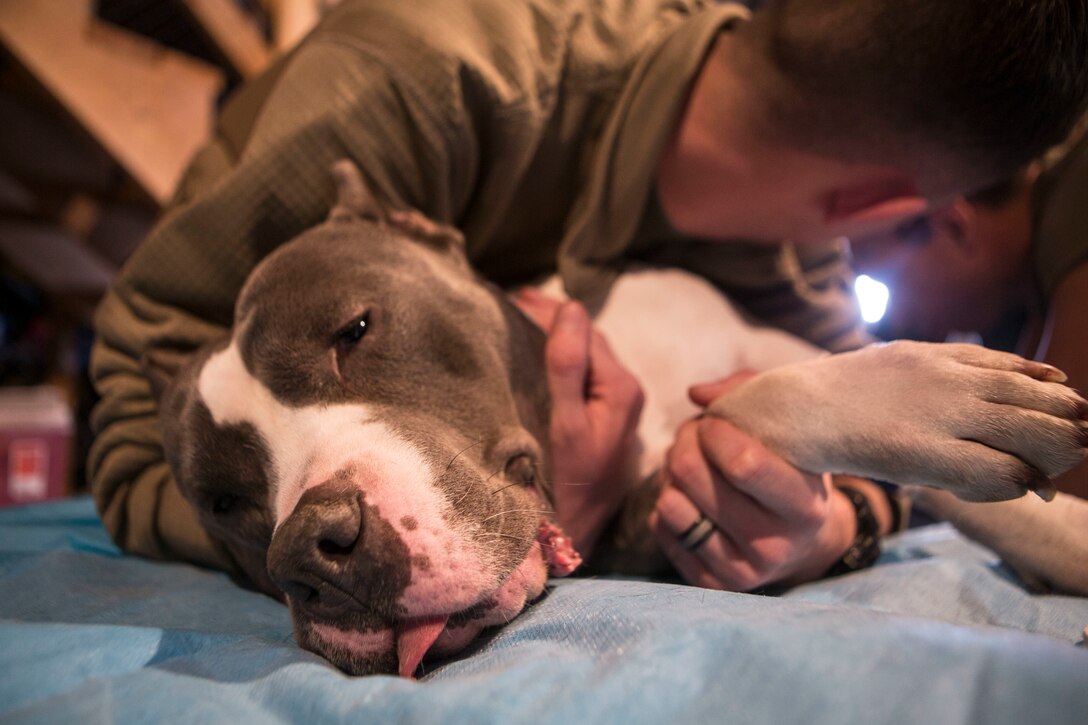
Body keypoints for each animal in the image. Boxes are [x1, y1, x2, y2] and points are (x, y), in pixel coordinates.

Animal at [146, 162, 1088, 679]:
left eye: (356, 329)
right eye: (224, 504)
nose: (310, 556)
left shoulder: (770, 338)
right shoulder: (651, 518)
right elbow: (759, 397)